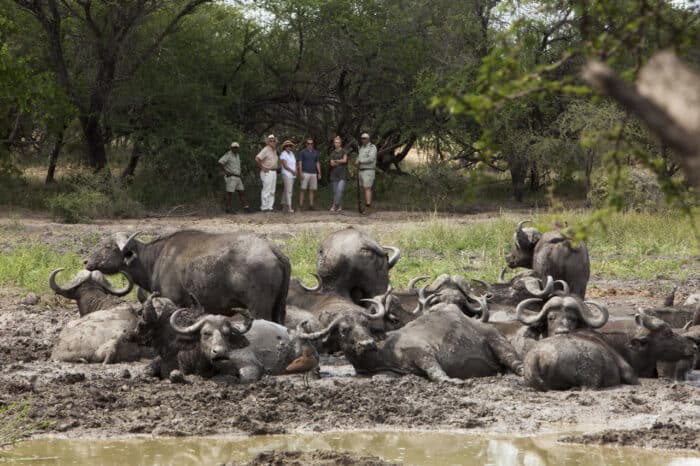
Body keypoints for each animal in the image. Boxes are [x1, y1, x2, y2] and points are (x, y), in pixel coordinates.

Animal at [84, 229, 290, 324]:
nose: (86, 261)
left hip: (259, 308)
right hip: (279, 307)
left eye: (107, 247)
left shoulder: (174, 300)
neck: (156, 257)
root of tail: (272, 249)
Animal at [298, 298, 524, 382]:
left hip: (496, 340)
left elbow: (435, 371)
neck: (382, 352)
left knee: (514, 361)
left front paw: (449, 380)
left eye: (366, 325)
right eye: (344, 330)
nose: (367, 344)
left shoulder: (422, 353)